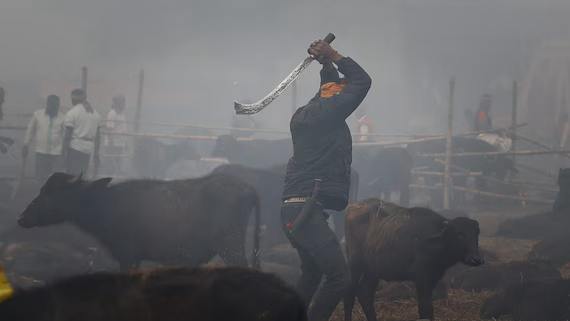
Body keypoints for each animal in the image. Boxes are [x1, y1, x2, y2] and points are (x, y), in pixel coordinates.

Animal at [18, 172, 260, 270]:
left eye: (49, 193)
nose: (22, 218)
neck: (107, 204)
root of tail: (248, 188)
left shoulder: (128, 256)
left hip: (231, 246)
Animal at [342, 198, 480, 320]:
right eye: (460, 234)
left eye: (476, 233)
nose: (476, 259)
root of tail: (353, 206)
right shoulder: (421, 280)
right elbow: (425, 309)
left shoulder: (433, 279)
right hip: (355, 265)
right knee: (349, 294)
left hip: (373, 271)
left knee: (365, 294)